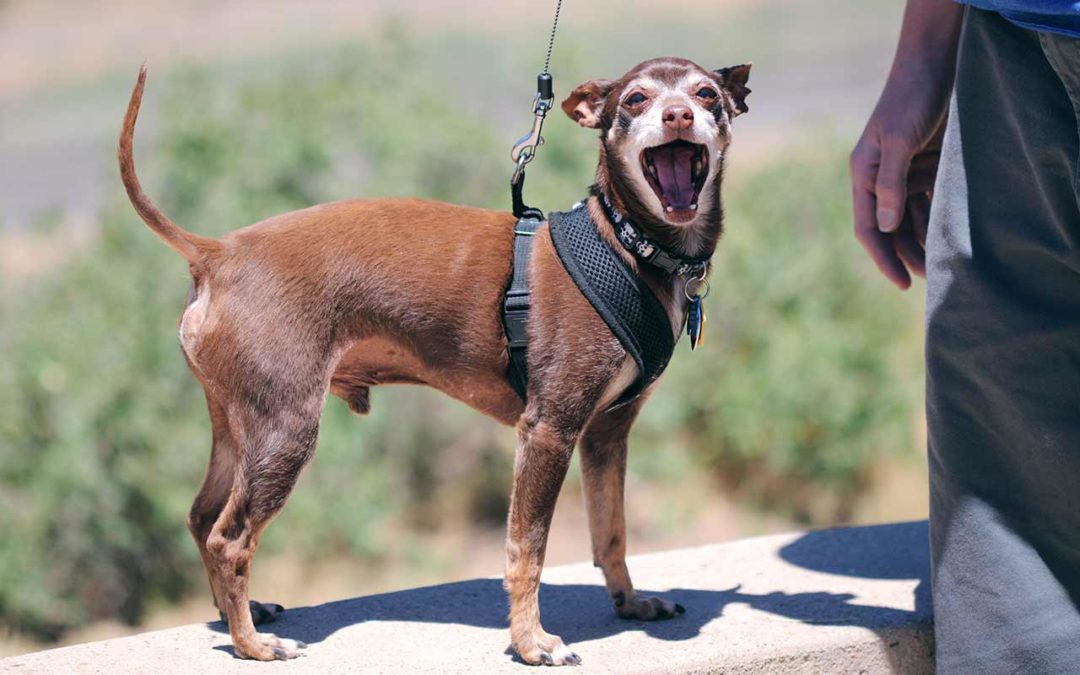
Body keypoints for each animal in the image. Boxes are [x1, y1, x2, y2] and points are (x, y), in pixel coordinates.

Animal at [113, 54, 747, 665]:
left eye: (706, 93)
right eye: (636, 98)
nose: (677, 115)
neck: (628, 245)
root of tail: (218, 253)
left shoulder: (606, 434)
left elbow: (610, 532)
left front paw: (630, 602)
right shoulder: (548, 431)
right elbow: (527, 549)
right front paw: (531, 643)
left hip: (238, 425)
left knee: (201, 518)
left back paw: (235, 616)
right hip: (284, 430)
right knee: (230, 537)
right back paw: (251, 643)